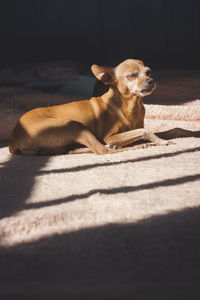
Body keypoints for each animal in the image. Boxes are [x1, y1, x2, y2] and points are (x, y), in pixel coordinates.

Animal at [9, 59, 177, 157]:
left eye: (148, 72)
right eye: (132, 76)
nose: (151, 81)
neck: (130, 105)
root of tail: (14, 138)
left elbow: (169, 130)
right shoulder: (110, 135)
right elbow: (144, 131)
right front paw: (160, 141)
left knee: (76, 150)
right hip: (75, 125)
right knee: (102, 151)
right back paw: (136, 146)